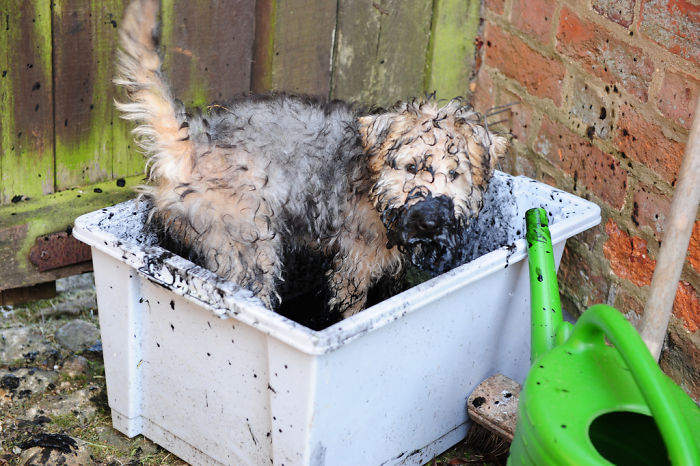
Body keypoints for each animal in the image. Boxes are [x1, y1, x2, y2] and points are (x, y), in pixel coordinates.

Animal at [116, 0, 508, 320]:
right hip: (250, 245)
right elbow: (351, 307)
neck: (375, 188)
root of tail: (193, 141)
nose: (429, 220)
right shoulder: (356, 261)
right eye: (411, 168)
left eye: (455, 174)